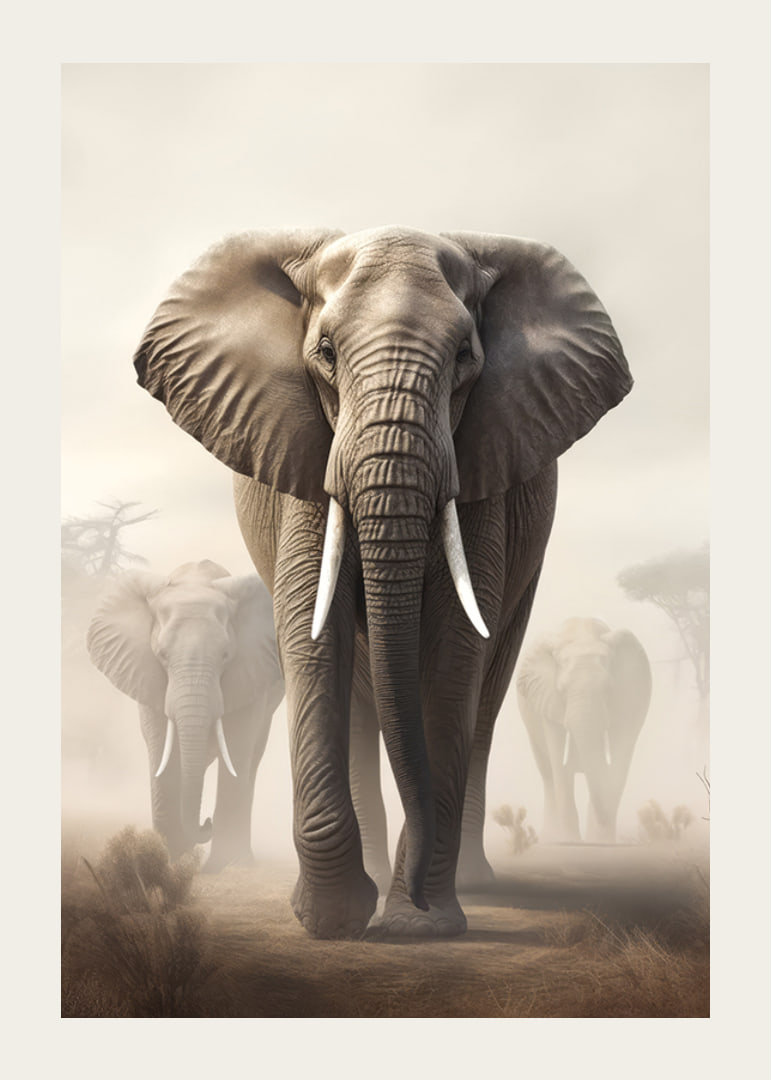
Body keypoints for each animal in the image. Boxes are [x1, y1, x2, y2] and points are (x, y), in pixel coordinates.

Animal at [86, 560, 284, 870]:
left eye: (225, 655)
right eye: (162, 655)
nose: (207, 822)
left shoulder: (250, 672)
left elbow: (237, 744)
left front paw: (223, 866)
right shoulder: (146, 673)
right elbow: (161, 749)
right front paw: (167, 861)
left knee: (251, 757)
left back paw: (240, 861)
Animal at [132, 225, 632, 937]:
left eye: (464, 357)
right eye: (326, 353)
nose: (416, 900)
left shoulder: (483, 469)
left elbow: (455, 653)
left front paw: (422, 927)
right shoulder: (305, 454)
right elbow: (313, 634)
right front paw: (334, 921)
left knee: (485, 697)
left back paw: (470, 885)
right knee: (363, 700)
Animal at [516, 617, 652, 844]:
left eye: (608, 689)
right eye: (561, 690)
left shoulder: (629, 699)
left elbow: (619, 760)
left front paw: (603, 842)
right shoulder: (547, 700)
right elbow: (558, 761)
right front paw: (570, 842)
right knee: (548, 774)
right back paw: (552, 836)